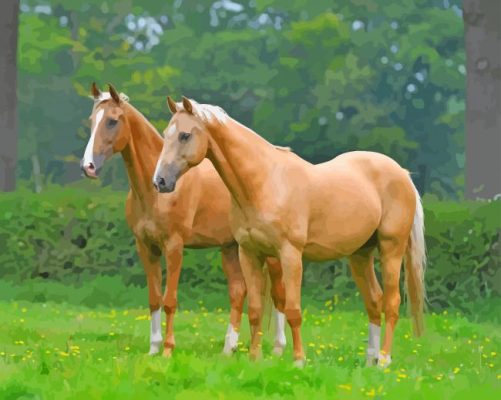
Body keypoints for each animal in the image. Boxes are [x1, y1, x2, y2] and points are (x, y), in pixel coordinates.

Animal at [80, 83, 288, 356]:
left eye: (113, 121)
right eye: (92, 120)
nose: (88, 167)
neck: (153, 194)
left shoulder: (174, 246)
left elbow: (170, 300)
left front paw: (168, 349)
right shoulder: (146, 247)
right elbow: (154, 299)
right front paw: (153, 349)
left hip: (269, 254)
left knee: (279, 294)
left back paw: (278, 348)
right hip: (230, 248)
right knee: (238, 291)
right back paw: (228, 349)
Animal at [153, 95, 426, 368]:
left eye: (185, 135)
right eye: (166, 134)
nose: (160, 182)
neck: (264, 182)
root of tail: (402, 174)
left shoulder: (290, 254)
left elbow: (293, 310)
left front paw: (298, 361)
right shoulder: (249, 253)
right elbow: (254, 311)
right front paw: (254, 358)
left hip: (391, 249)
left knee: (391, 302)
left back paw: (384, 361)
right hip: (360, 254)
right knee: (374, 301)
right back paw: (370, 362)